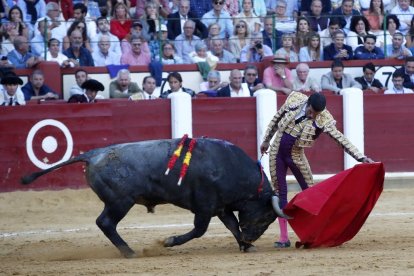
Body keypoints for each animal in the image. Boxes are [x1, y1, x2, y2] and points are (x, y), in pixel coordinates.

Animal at [21, 137, 276, 256]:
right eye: (266, 216)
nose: (251, 238)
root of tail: (94, 154)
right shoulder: (205, 207)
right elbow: (199, 230)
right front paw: (168, 241)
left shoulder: (221, 207)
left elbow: (232, 225)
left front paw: (245, 246)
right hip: (120, 202)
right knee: (105, 223)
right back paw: (129, 252)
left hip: (118, 202)